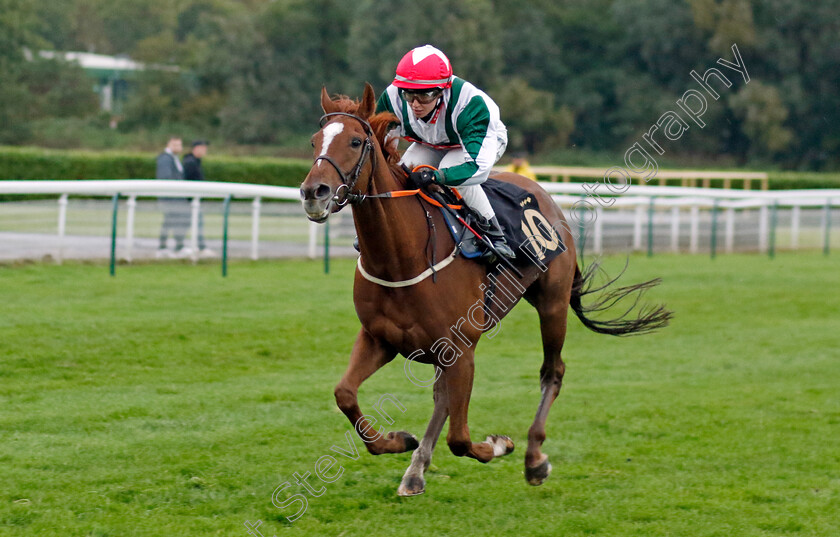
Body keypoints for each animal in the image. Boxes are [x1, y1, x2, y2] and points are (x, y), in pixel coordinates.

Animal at [300, 82, 668, 494]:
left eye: (355, 141)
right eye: (315, 141)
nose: (313, 192)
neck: (401, 256)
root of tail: (541, 192)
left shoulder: (461, 348)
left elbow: (460, 439)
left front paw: (499, 444)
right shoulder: (380, 338)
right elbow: (345, 394)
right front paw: (398, 441)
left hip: (552, 303)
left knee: (552, 372)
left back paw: (534, 458)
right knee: (442, 397)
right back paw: (416, 469)